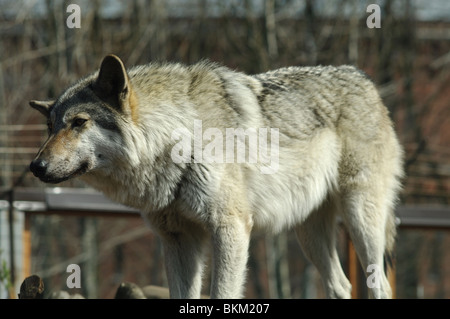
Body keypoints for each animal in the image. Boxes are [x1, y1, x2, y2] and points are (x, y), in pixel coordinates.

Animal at [29, 55, 404, 300]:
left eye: (79, 123)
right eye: (50, 126)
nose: (36, 167)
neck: (180, 137)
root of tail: (363, 78)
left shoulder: (231, 229)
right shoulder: (178, 239)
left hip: (361, 220)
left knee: (380, 285)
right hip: (308, 234)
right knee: (341, 286)